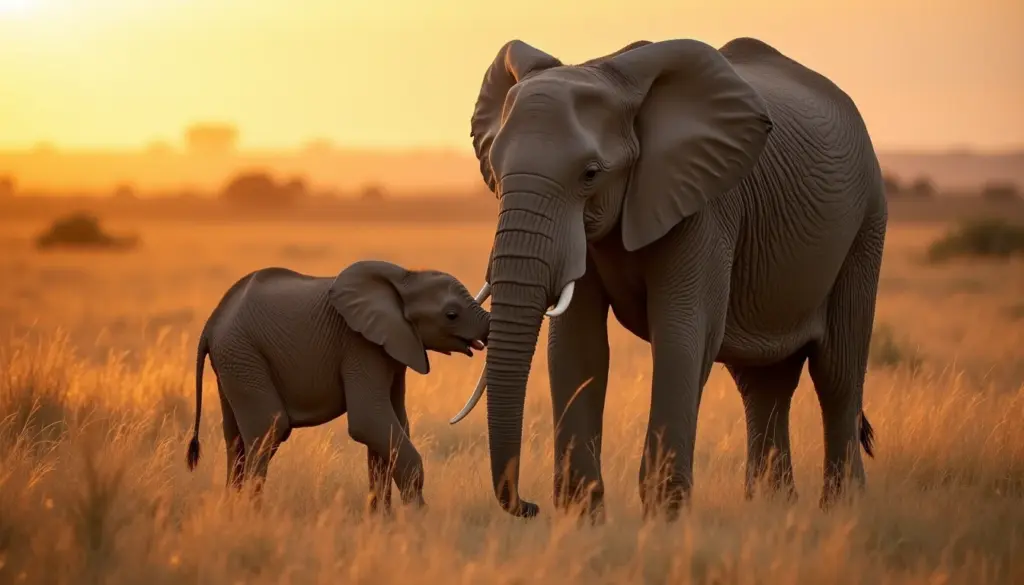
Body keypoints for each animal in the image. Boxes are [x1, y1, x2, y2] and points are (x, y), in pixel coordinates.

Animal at [184, 260, 489, 511]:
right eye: (451, 314)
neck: (405, 277)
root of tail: (210, 324)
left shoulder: (393, 346)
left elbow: (394, 423)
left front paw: (382, 523)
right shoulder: (360, 345)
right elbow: (369, 421)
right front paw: (417, 518)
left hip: (233, 361)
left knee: (235, 437)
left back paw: (230, 511)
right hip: (242, 353)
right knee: (269, 427)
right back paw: (251, 514)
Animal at [449, 36, 886, 520]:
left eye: (590, 174)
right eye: (495, 170)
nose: (529, 505)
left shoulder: (705, 203)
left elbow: (681, 332)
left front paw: (664, 518)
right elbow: (577, 345)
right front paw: (582, 519)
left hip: (867, 223)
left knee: (837, 372)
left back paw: (841, 510)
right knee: (762, 383)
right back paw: (771, 510)